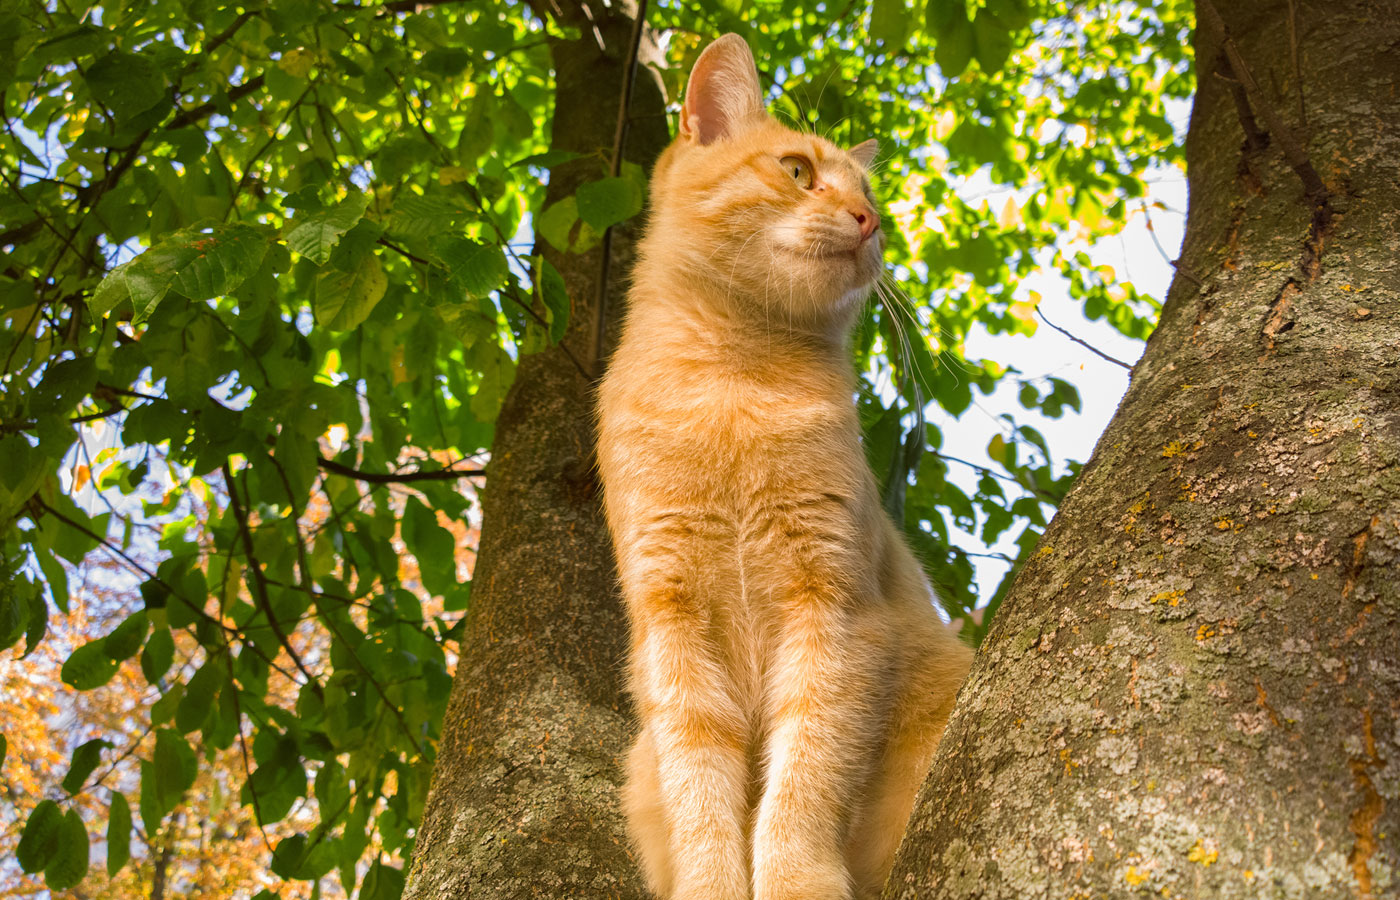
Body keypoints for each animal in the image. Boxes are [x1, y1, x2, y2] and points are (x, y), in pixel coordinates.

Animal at [593, 31, 974, 895]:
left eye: (872, 199)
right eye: (798, 172)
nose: (869, 222)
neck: (734, 386)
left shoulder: (833, 612)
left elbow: (804, 775)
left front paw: (795, 877)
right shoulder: (672, 628)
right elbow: (701, 791)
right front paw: (711, 883)